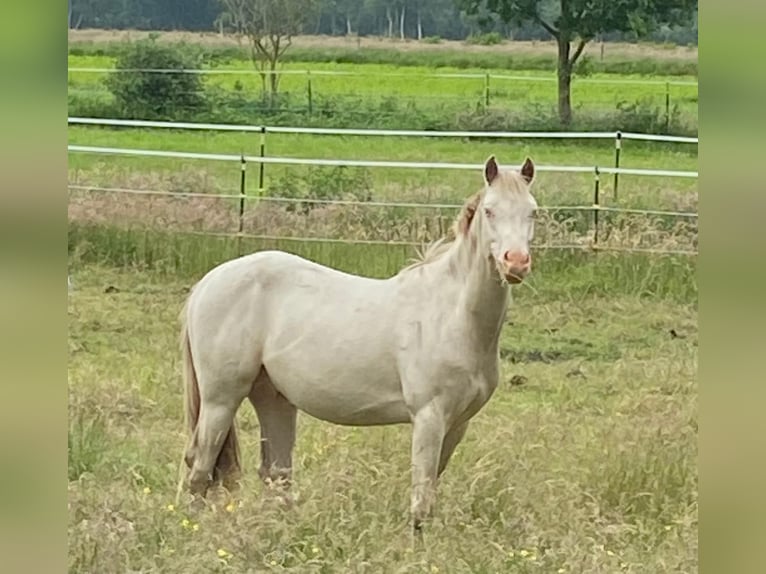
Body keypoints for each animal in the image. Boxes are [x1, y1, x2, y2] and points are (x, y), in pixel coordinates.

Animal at [180, 154, 540, 536]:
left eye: (532, 211)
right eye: (490, 210)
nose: (516, 262)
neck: (449, 314)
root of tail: (206, 284)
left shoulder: (457, 424)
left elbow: (431, 491)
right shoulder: (429, 417)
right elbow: (421, 497)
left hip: (273, 398)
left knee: (275, 473)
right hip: (221, 399)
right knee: (200, 468)